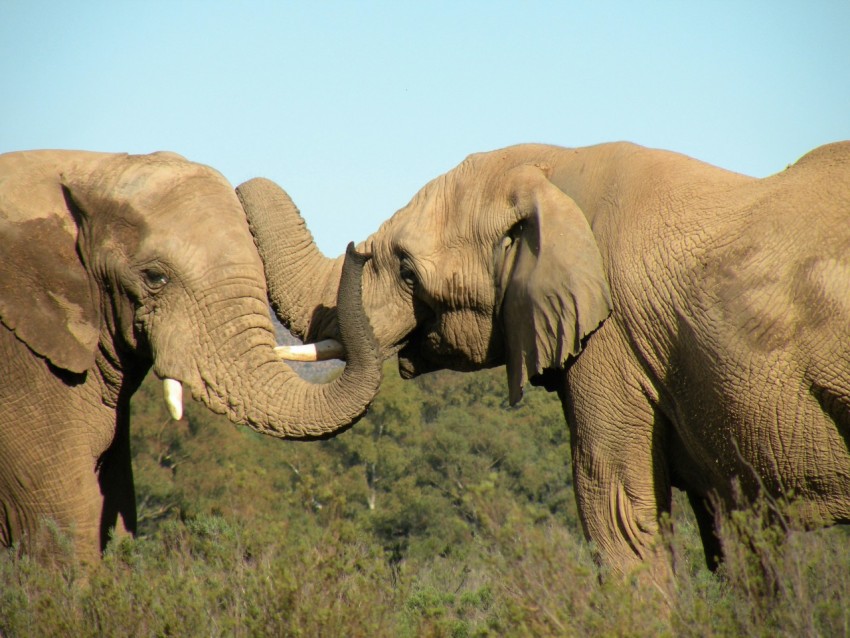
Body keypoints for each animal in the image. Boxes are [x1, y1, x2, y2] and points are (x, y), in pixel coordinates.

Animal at [236, 140, 850, 579]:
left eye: (407, 269)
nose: (238, 181)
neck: (556, 166)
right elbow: (736, 537)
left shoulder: (612, 341)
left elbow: (615, 516)